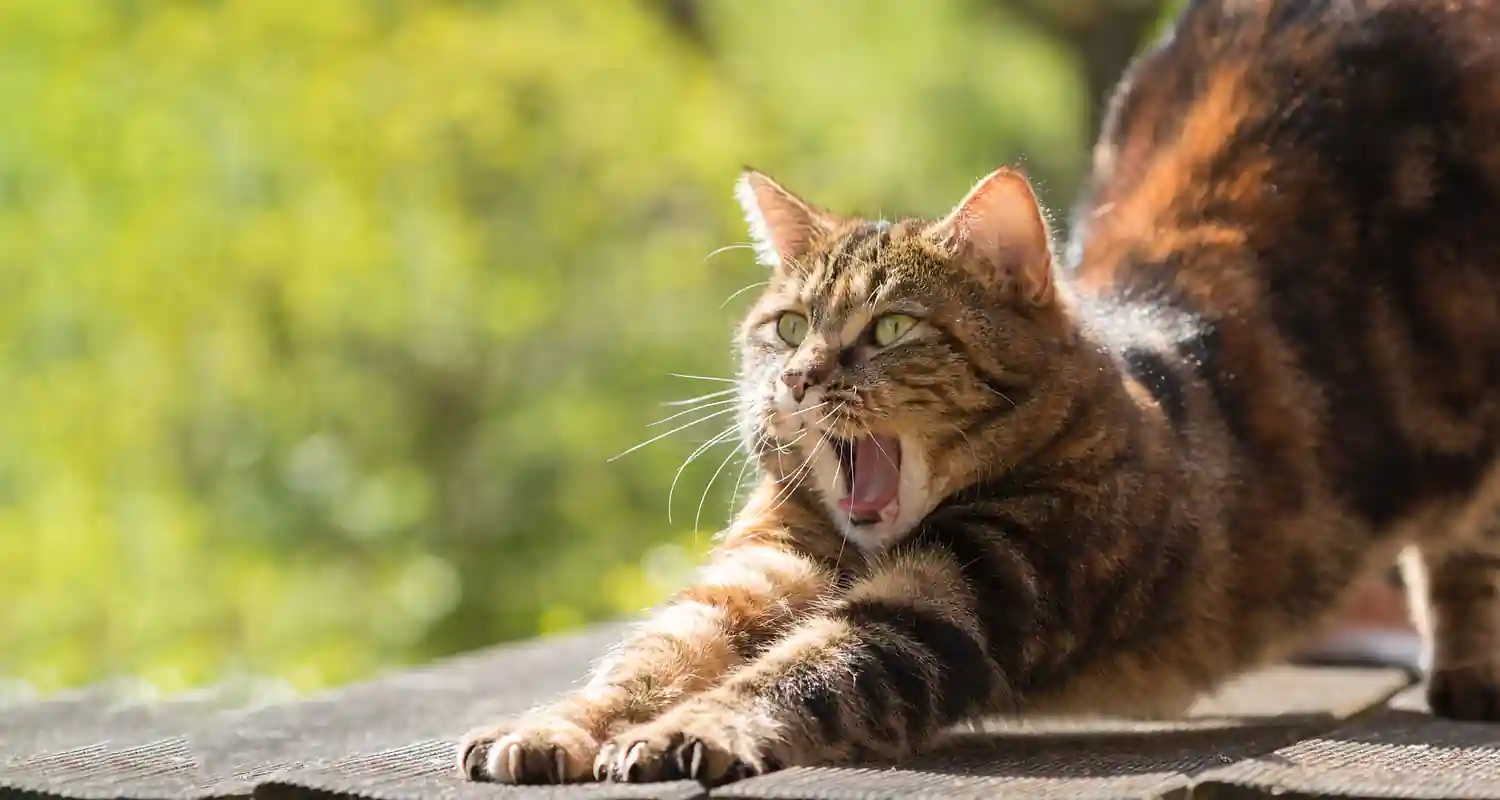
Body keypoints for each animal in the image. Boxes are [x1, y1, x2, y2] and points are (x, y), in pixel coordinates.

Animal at [456, 0, 1500, 786]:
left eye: (889, 330)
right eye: (787, 327)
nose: (797, 378)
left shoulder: (969, 590)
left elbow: (808, 666)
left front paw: (693, 727)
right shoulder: (764, 564)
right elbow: (654, 652)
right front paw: (554, 725)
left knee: (1465, 554)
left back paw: (1469, 674)